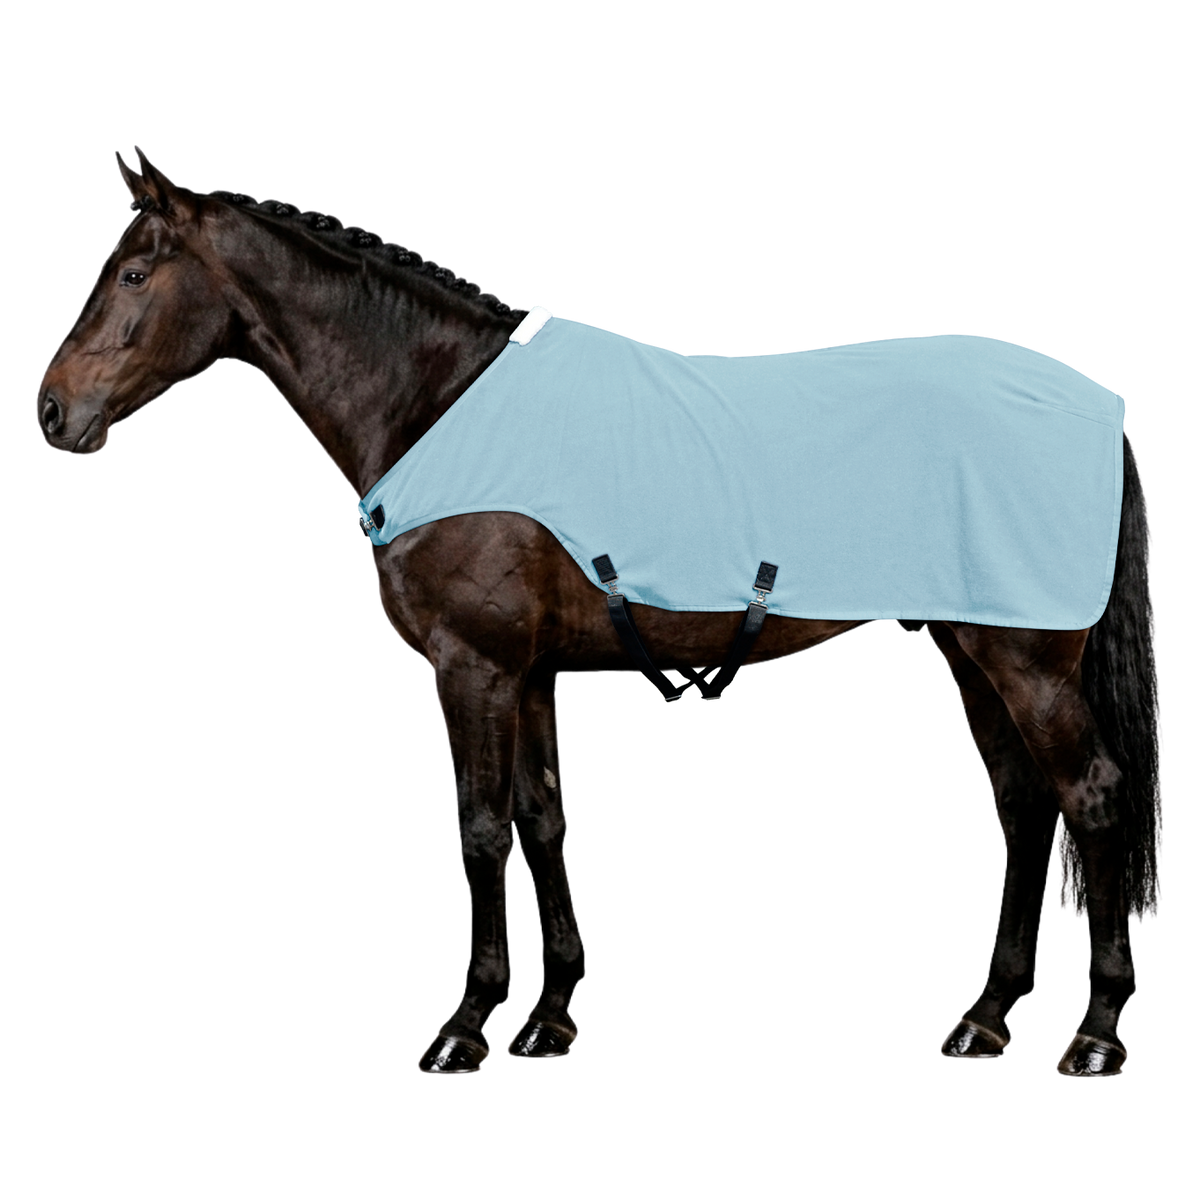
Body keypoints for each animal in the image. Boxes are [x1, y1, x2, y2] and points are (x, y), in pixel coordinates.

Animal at [36, 146, 1164, 1078]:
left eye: (132, 274)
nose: (50, 409)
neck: (435, 400)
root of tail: (1100, 404)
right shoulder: (531, 674)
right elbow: (544, 817)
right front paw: (550, 1018)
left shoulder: (473, 665)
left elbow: (482, 824)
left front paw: (466, 1026)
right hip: (967, 653)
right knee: (1019, 805)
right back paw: (985, 1019)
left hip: (1026, 662)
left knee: (1093, 798)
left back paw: (1095, 1035)